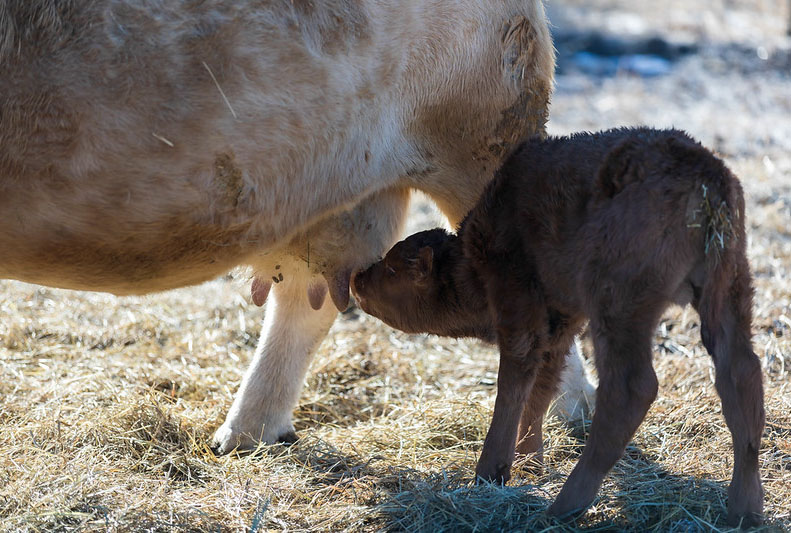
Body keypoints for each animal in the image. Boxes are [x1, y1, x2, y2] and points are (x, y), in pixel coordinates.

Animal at [351, 128, 765, 527]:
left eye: (394, 270)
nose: (358, 278)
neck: (471, 259)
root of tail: (707, 175)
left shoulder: (519, 309)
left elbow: (513, 385)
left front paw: (490, 473)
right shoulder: (561, 323)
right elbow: (542, 387)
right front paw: (530, 462)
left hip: (619, 305)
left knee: (631, 388)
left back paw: (564, 507)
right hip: (729, 287)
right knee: (741, 373)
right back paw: (745, 511)